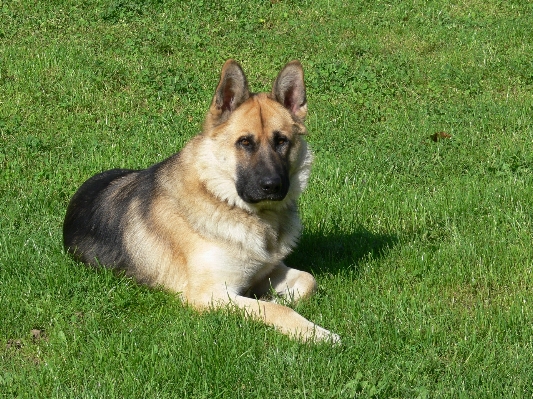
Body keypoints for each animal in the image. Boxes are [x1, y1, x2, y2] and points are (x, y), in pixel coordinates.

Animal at [64, 59, 338, 344]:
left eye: (282, 141)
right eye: (245, 142)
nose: (272, 186)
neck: (224, 199)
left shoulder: (267, 271)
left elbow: (308, 280)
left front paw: (281, 296)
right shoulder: (211, 295)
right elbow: (276, 309)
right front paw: (314, 333)